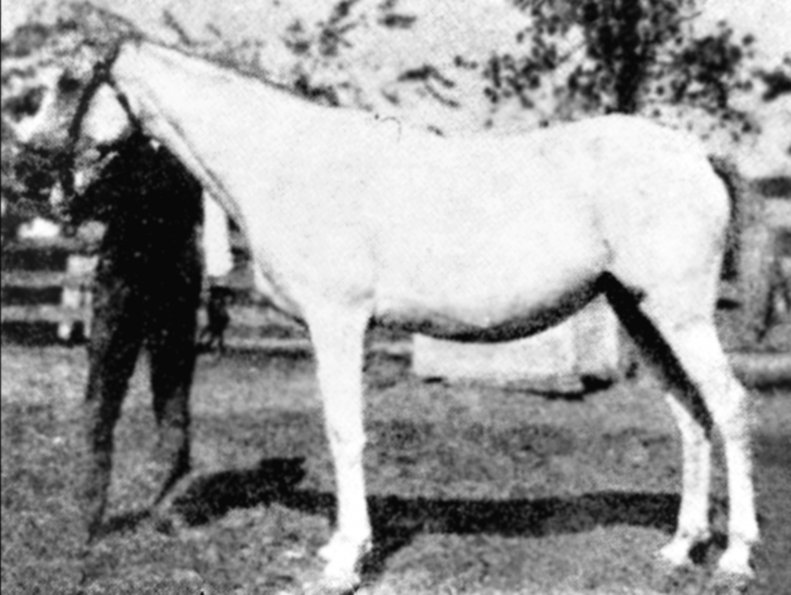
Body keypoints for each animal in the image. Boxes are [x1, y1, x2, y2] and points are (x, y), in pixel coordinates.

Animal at [8, 36, 759, 591]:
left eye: (69, 81)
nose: (23, 174)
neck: (287, 161)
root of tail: (697, 154)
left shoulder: (337, 323)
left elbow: (345, 432)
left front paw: (346, 559)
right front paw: (338, 548)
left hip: (680, 314)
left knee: (726, 405)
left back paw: (734, 555)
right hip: (639, 313)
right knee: (688, 415)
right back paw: (680, 547)